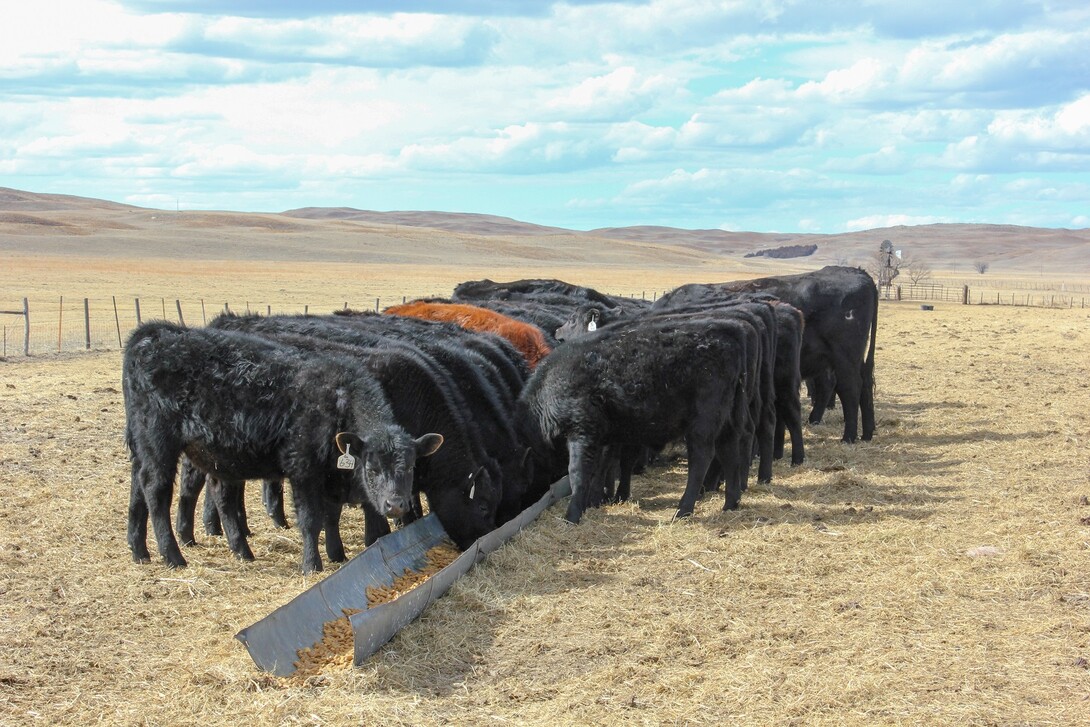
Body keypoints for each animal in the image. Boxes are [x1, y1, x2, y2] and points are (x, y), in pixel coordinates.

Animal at [122, 320, 443, 573]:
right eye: (372, 469)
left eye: (411, 467)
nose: (395, 505)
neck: (337, 400)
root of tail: (154, 333)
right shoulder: (302, 468)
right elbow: (311, 519)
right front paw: (312, 565)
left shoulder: (331, 474)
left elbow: (332, 514)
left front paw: (337, 554)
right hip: (158, 443)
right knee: (156, 490)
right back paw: (173, 555)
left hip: (163, 450)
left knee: (148, 487)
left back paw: (144, 550)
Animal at [655, 266, 877, 443]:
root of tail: (857, 272)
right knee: (858, 384)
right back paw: (864, 432)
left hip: (844, 357)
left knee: (850, 388)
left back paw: (848, 436)